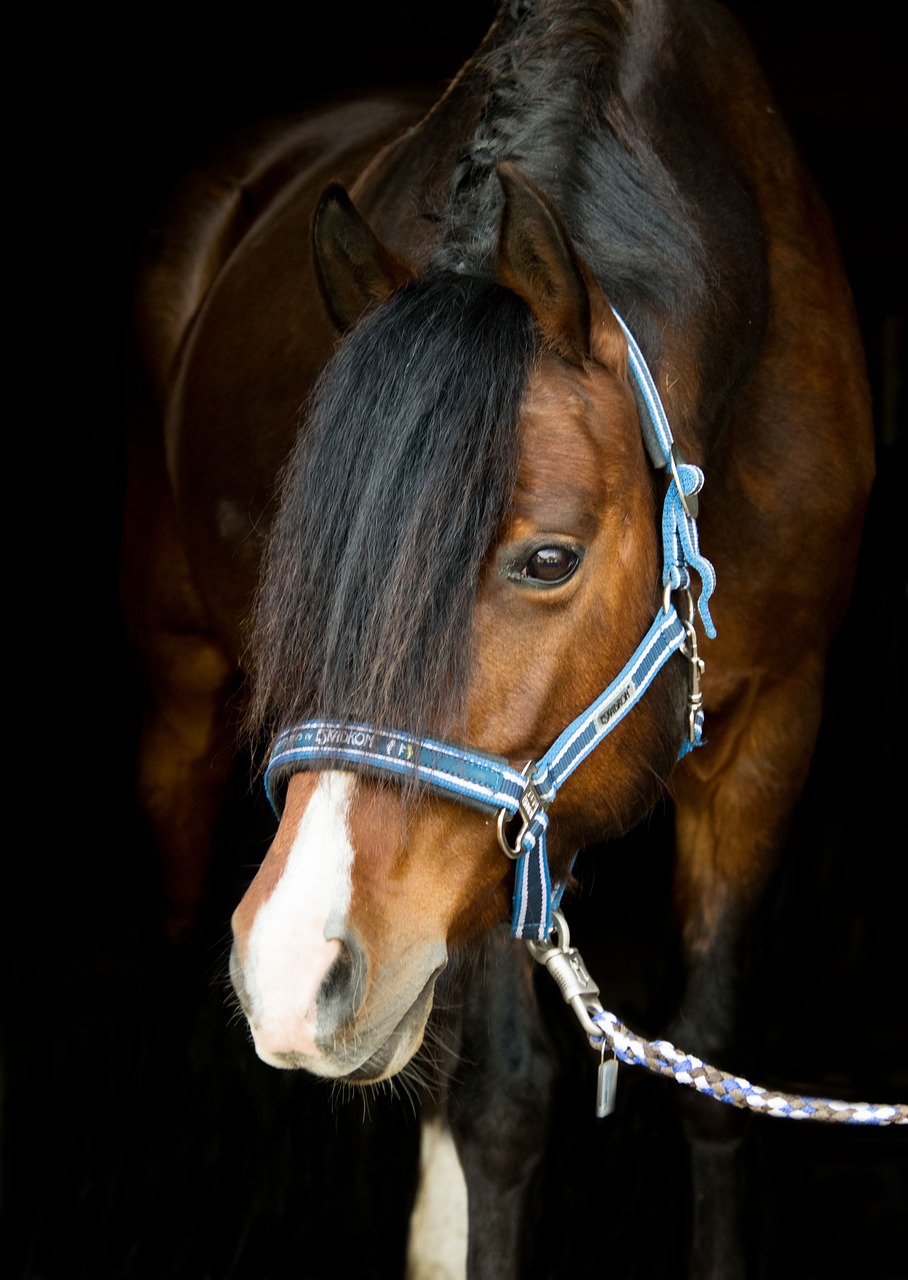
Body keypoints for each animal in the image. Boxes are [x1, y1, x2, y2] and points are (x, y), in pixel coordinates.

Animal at [124, 5, 875, 1274]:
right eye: (309, 554)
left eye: (547, 559)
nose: (287, 965)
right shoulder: (483, 841)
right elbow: (502, 1109)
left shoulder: (771, 727)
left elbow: (707, 1078)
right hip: (180, 684)